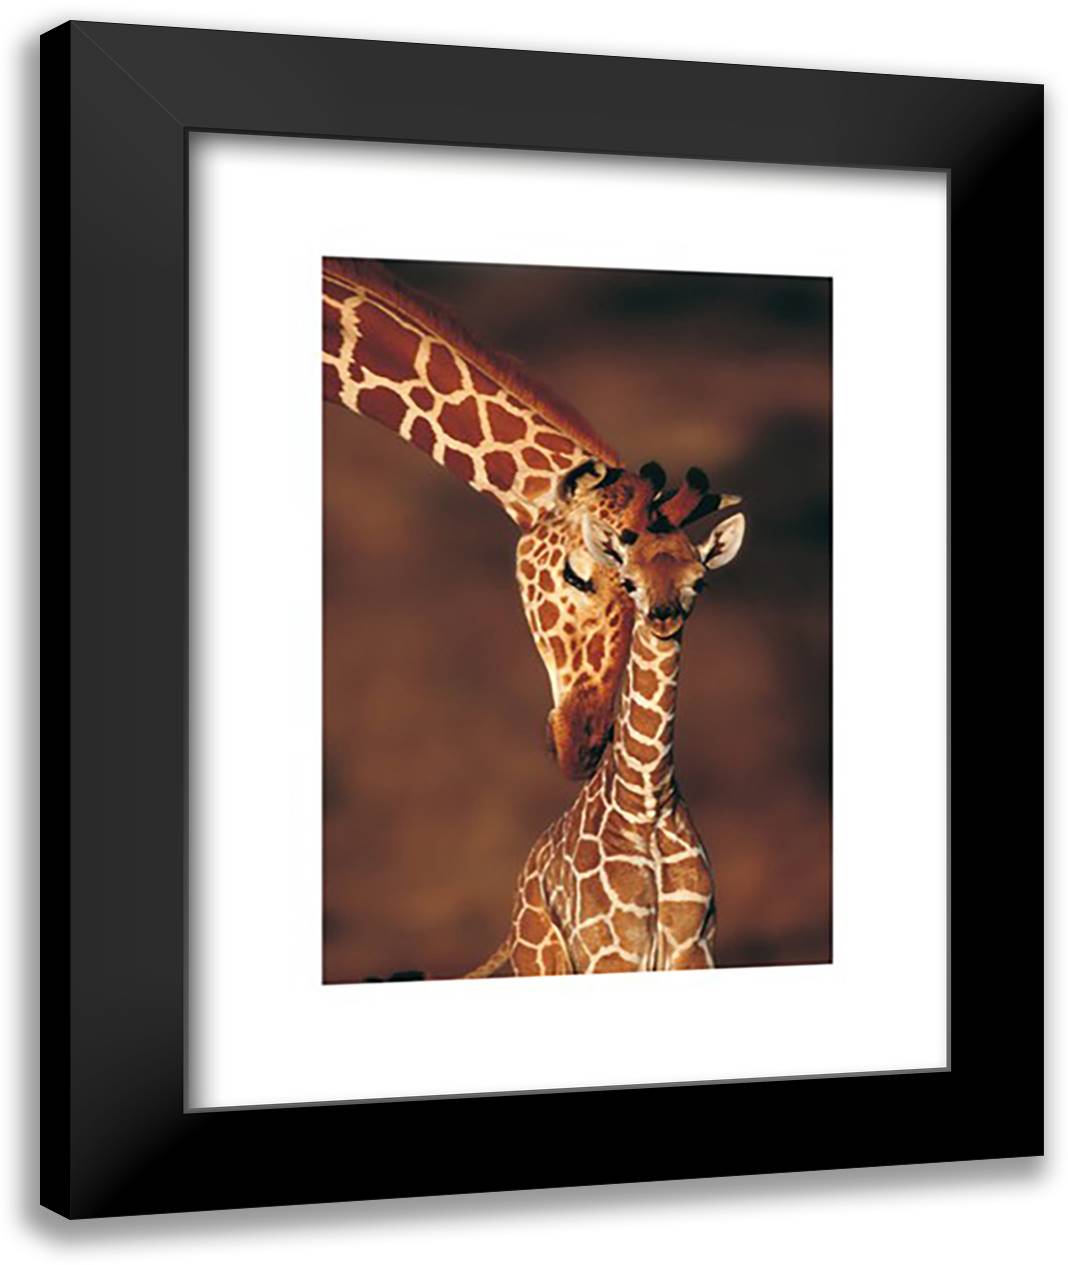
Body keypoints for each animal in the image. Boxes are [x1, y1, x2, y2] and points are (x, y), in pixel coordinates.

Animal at [465, 491, 746, 976]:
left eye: (699, 582)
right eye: (629, 582)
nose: (663, 617)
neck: (647, 802)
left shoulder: (693, 949)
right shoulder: (612, 953)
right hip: (544, 960)